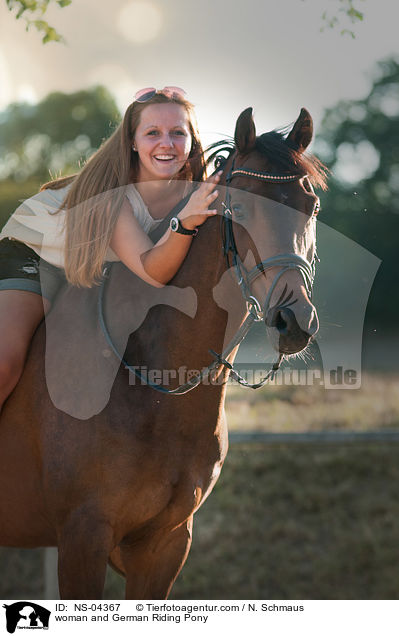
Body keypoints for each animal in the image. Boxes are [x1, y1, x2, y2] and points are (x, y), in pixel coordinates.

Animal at [0, 107, 328, 600]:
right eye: (240, 208)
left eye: (311, 208)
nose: (294, 320)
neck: (150, 383)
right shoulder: (82, 538)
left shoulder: (165, 544)